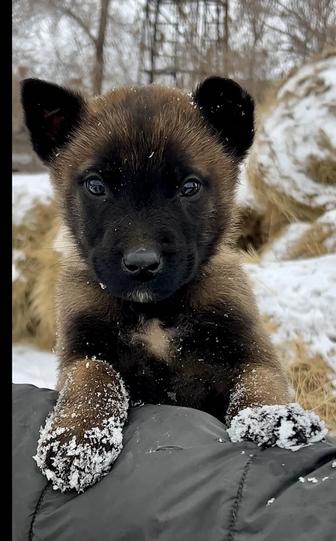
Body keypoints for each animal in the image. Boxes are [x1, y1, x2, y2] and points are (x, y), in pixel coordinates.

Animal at [21, 79, 288, 490]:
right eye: (96, 186)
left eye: (189, 187)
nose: (142, 264)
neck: (155, 309)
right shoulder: (83, 348)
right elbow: (92, 378)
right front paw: (77, 437)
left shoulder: (248, 348)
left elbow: (262, 380)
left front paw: (274, 420)